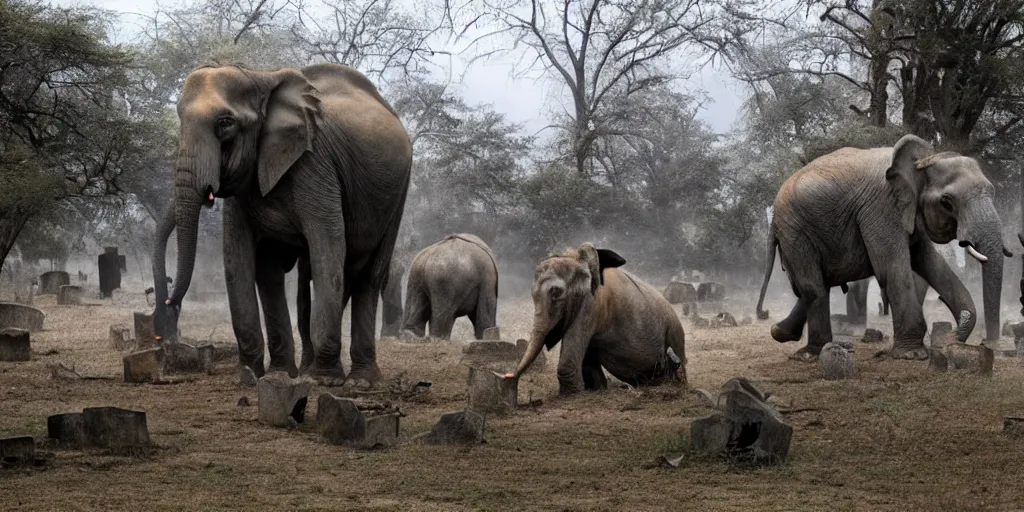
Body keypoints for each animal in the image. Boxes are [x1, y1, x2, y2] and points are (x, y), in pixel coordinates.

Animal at [153, 61, 409, 385]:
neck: (259, 79)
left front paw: (323, 380)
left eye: (225, 123)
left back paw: (359, 380)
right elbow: (245, 263)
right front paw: (257, 376)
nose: (168, 304)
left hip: (398, 193)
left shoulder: (314, 165)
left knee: (369, 274)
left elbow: (328, 250)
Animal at [509, 242, 688, 395]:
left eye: (556, 293)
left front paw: (571, 395)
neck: (576, 258)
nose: (509, 377)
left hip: (675, 334)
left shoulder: (591, 304)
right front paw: (596, 390)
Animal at [757, 135, 1011, 360]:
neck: (923, 161)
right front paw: (912, 355)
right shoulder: (881, 208)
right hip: (795, 231)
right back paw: (811, 353)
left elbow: (932, 264)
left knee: (819, 283)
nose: (986, 343)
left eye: (993, 192)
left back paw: (780, 332)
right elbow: (892, 268)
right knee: (813, 286)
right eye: (946, 202)